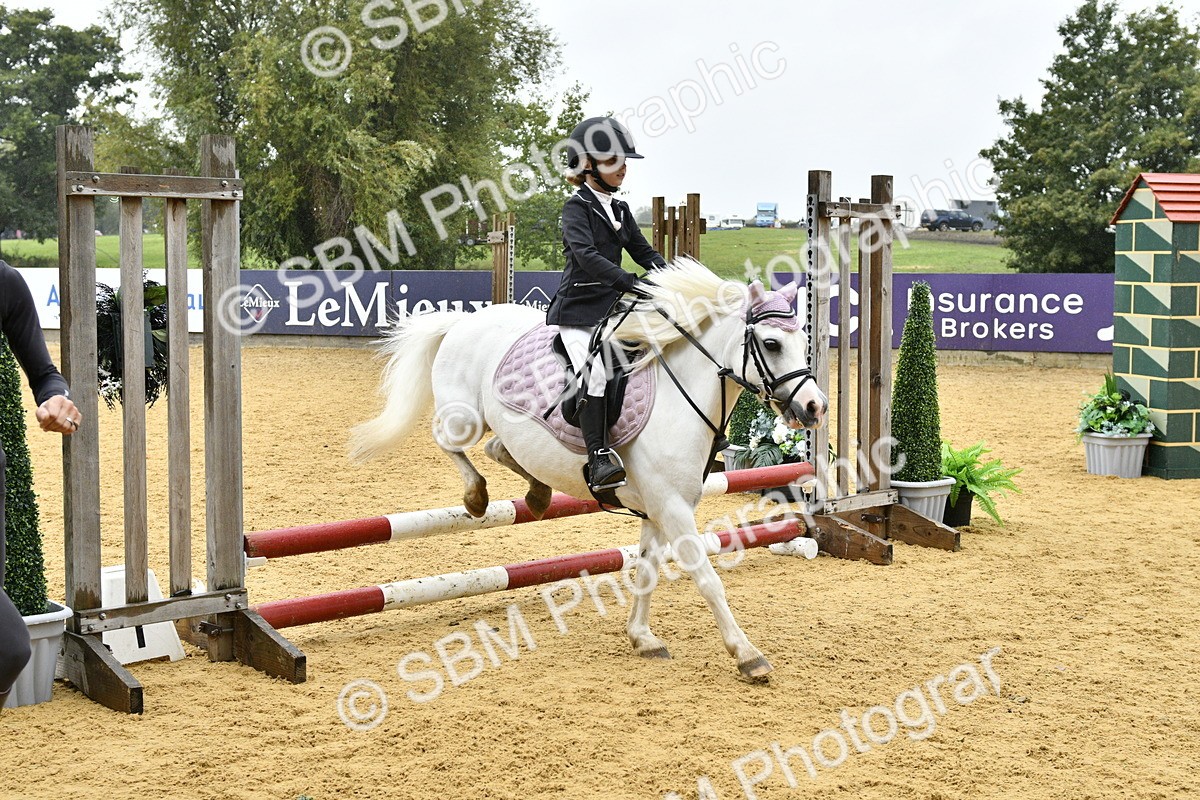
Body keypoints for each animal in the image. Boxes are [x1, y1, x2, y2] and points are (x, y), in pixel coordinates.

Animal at [349, 258, 828, 680]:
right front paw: (747, 655)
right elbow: (708, 579)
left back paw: (538, 493)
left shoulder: (661, 507)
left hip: (505, 429)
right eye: (771, 344)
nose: (815, 407)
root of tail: (463, 321)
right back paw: (477, 496)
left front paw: (642, 638)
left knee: (499, 448)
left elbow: (647, 570)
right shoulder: (672, 508)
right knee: (449, 442)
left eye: (802, 339)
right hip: (463, 417)